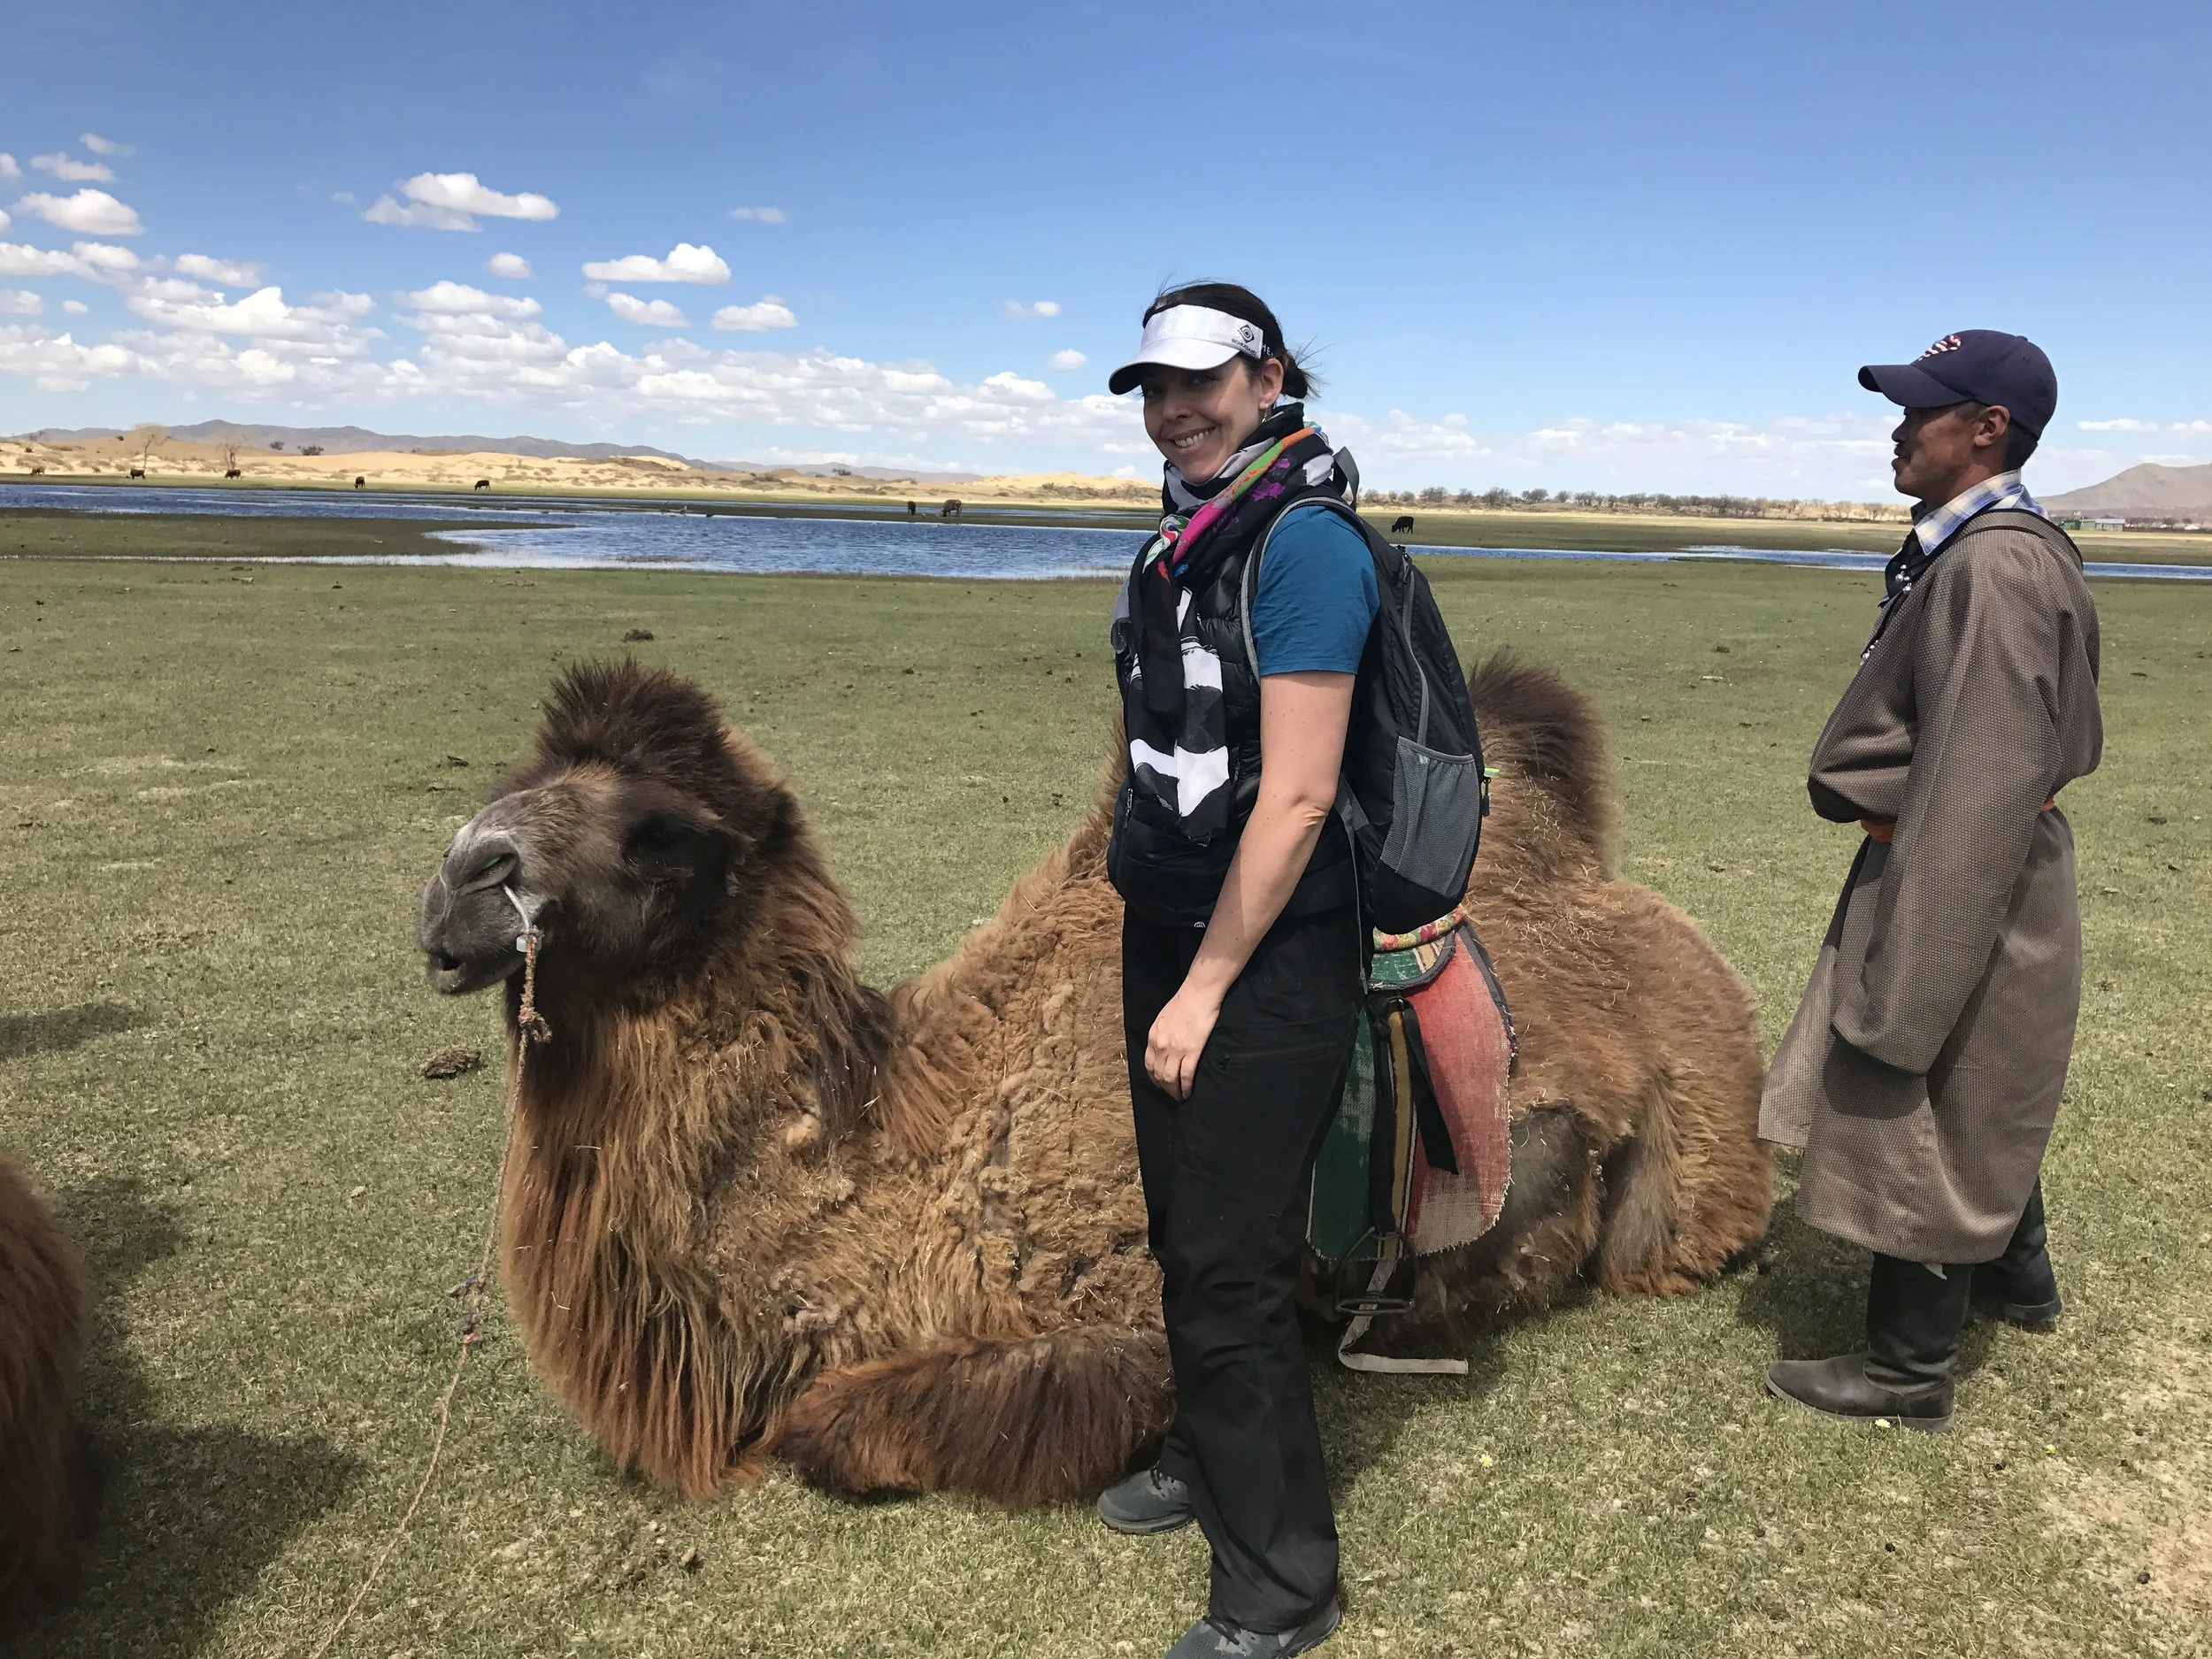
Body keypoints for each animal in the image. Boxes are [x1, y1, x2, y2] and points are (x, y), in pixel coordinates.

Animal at [416, 657, 1769, 1507]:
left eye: (660, 834)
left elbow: (829, 1428)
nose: (457, 883)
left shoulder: (1119, 1300)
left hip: (1694, 1134)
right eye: (505, 790)